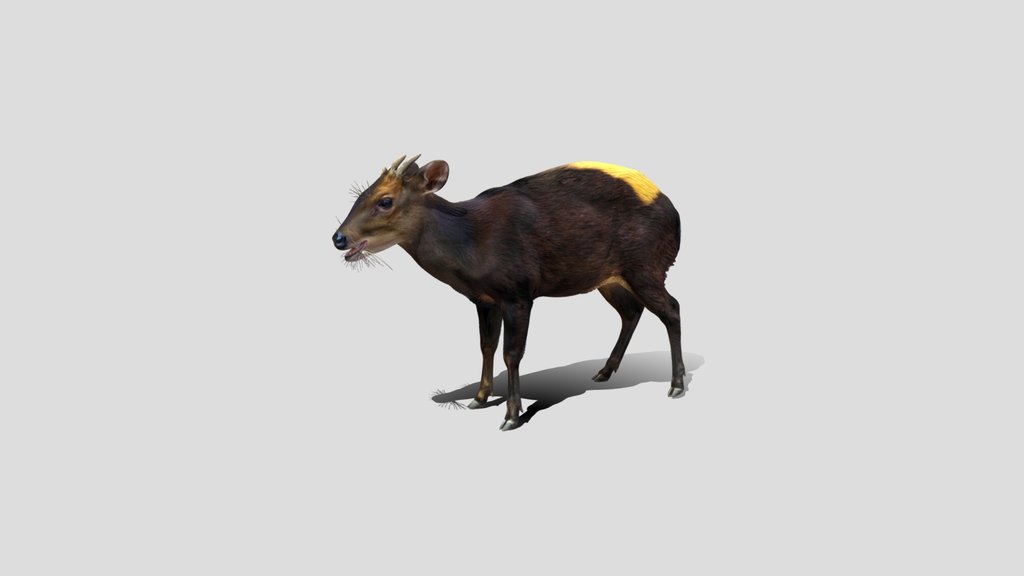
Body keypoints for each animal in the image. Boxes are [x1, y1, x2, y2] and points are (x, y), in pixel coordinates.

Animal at [333, 154, 687, 431]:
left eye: (385, 201)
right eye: (361, 194)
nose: (338, 238)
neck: (468, 242)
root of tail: (675, 214)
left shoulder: (518, 294)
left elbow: (512, 353)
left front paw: (512, 415)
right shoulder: (483, 299)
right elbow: (486, 346)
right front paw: (479, 398)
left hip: (644, 267)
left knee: (671, 308)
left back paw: (677, 384)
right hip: (609, 278)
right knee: (632, 312)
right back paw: (604, 371)